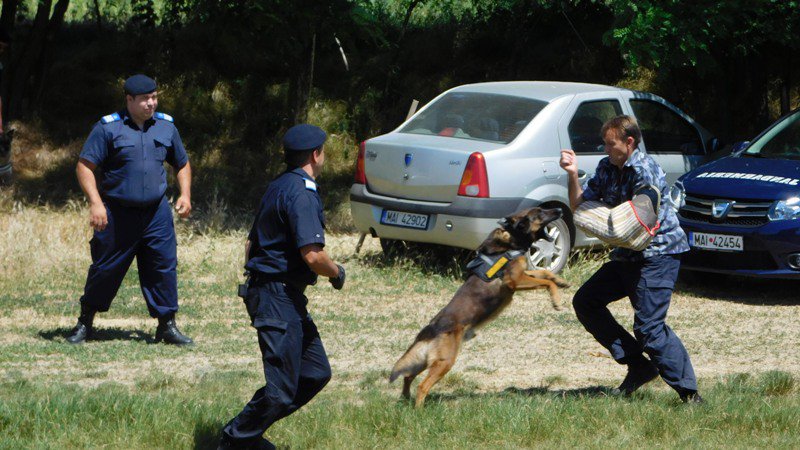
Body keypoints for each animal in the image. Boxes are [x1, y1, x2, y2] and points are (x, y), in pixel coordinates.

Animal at [390, 207, 568, 408]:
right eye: (540, 212)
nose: (560, 209)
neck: (512, 238)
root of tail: (430, 329)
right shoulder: (514, 280)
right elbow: (545, 281)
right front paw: (556, 300)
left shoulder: (523, 275)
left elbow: (544, 272)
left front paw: (561, 281)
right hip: (445, 361)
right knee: (422, 386)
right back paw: (418, 409)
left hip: (426, 360)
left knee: (407, 376)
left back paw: (405, 398)